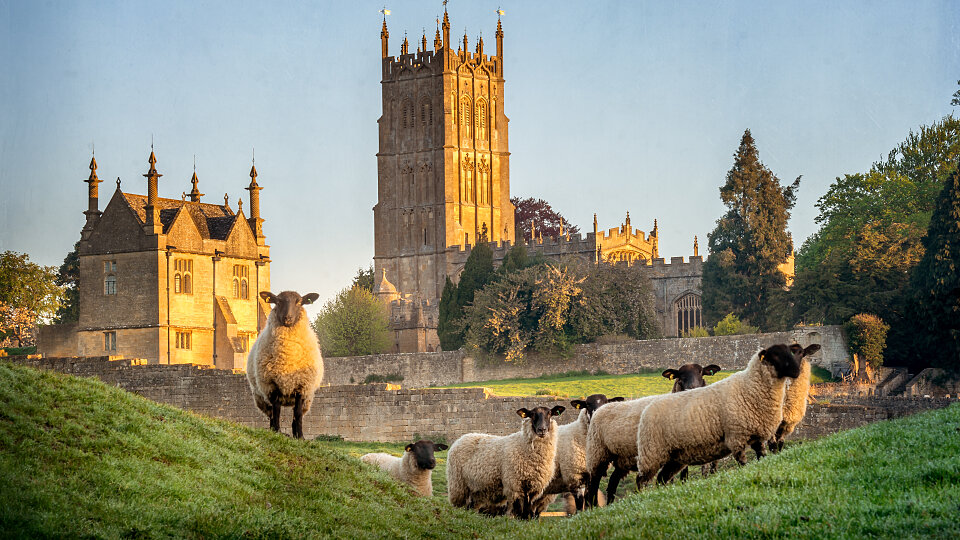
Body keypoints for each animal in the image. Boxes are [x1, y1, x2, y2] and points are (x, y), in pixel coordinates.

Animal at [246, 292, 324, 438]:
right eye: (277, 301)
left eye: (299, 302)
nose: (288, 318)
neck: (288, 354)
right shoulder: (272, 386)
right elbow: (276, 412)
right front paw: (277, 431)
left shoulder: (301, 387)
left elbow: (297, 414)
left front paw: (300, 437)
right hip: (261, 397)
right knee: (271, 413)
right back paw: (274, 430)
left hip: (307, 399)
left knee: (295, 414)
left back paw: (295, 435)